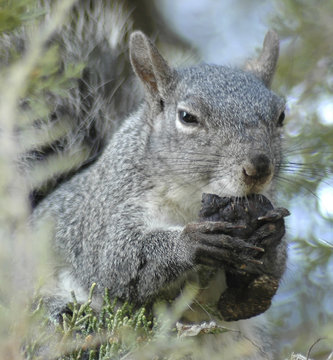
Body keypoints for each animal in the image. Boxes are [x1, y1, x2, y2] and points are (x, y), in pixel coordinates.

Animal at [8, 1, 288, 358]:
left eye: (281, 116)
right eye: (187, 117)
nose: (258, 168)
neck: (193, 197)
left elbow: (255, 289)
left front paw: (272, 233)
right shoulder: (108, 211)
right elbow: (117, 261)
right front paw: (190, 242)